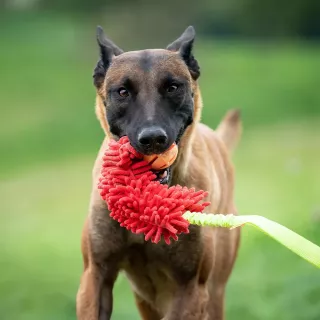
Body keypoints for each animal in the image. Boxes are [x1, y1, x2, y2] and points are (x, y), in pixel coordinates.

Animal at [76, 25, 241, 320]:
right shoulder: (95, 276)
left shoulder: (191, 288)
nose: (152, 139)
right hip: (146, 295)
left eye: (173, 87)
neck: (146, 199)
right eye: (122, 92)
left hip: (212, 291)